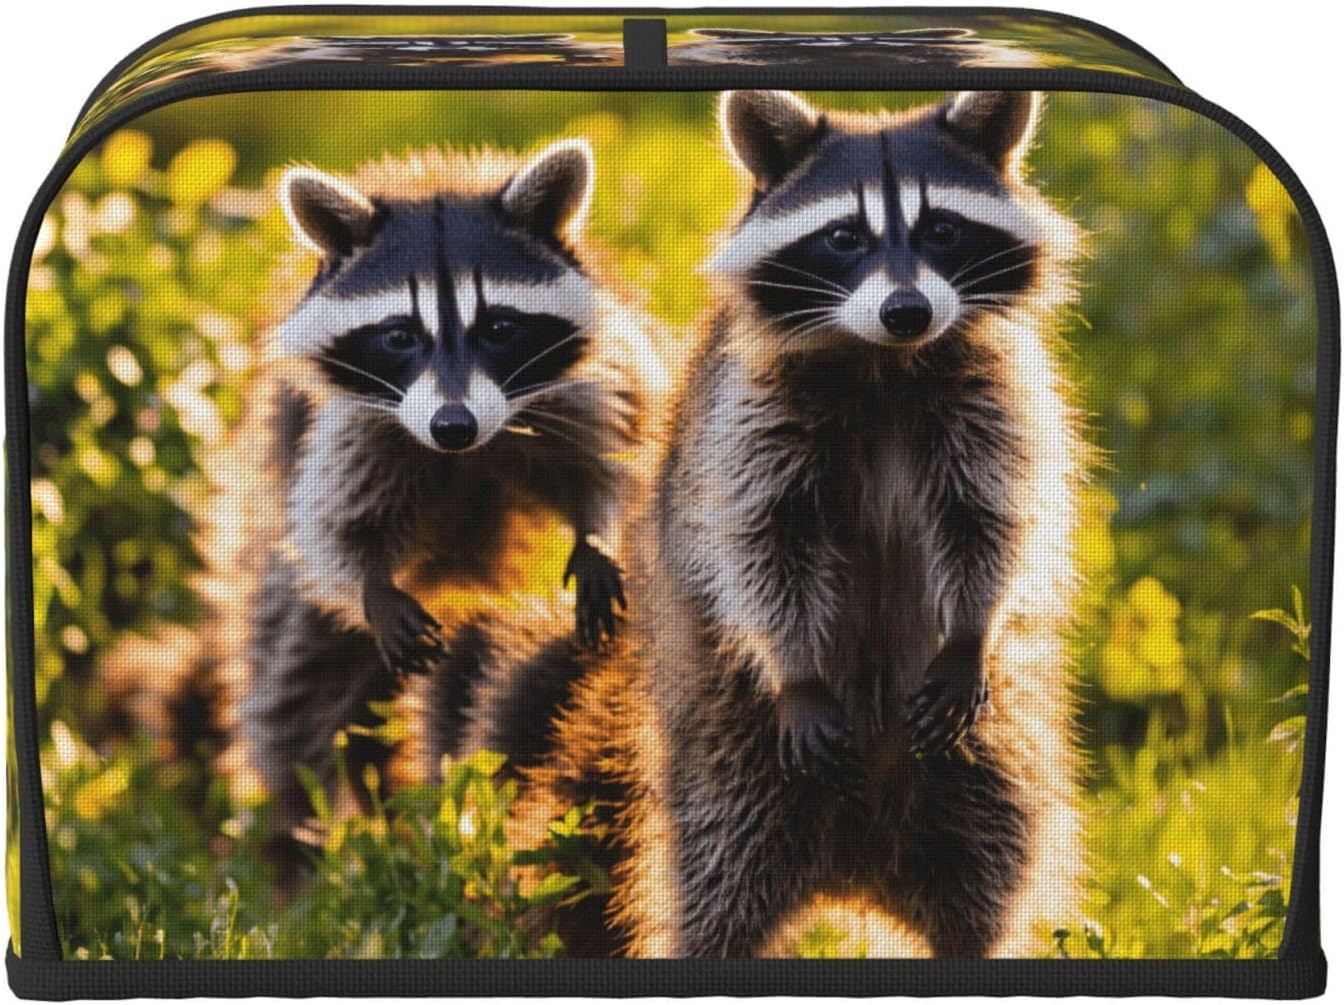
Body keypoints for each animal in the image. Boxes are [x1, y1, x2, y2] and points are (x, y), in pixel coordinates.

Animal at [240, 138, 660, 845]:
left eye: (499, 327)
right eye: (399, 335)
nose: (452, 426)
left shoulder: (594, 380)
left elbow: (612, 459)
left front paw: (596, 531)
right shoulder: (349, 421)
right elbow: (333, 519)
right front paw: (369, 582)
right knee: (301, 692)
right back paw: (311, 836)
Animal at [418, 89, 1090, 958]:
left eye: (942, 229)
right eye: (845, 236)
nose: (907, 311)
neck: (884, 363)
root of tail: (853, 865)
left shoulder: (993, 394)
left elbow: (992, 519)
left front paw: (973, 627)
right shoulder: (745, 420)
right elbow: (757, 543)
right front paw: (794, 662)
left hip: (987, 757)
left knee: (988, 873)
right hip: (728, 753)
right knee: (717, 887)